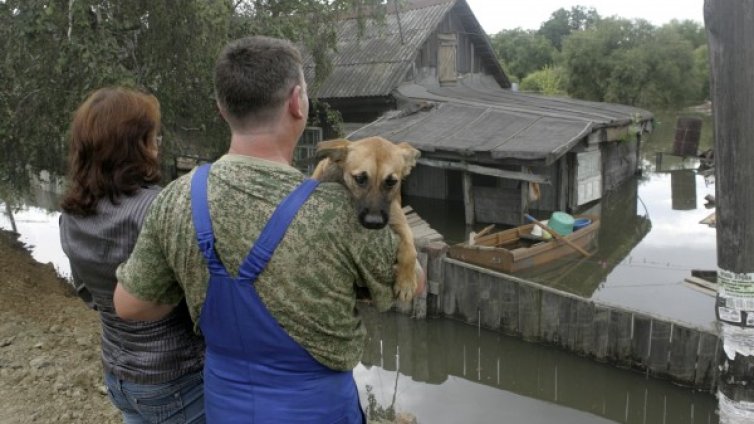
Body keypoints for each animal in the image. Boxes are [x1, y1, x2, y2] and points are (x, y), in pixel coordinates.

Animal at [310, 137, 420, 302]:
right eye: (360, 178)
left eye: (391, 182)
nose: (374, 223)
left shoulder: (399, 222)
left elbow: (410, 251)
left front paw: (406, 282)